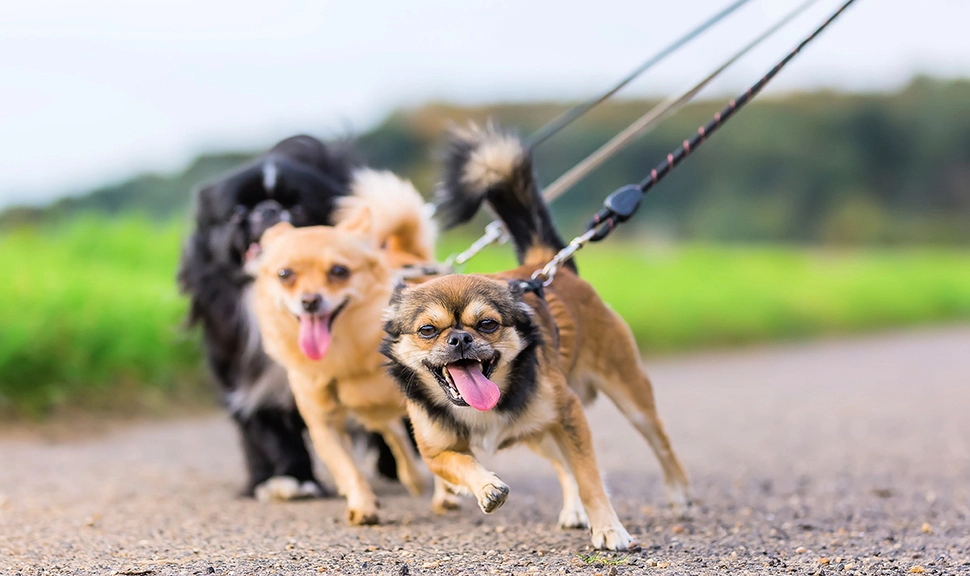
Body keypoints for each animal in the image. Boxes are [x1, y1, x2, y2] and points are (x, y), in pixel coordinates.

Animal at [178, 136, 398, 500]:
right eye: (238, 212)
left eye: (297, 209)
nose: (268, 210)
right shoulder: (254, 386)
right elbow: (273, 437)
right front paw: (290, 479)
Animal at [250, 170, 446, 520]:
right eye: (285, 274)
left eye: (339, 271)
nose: (310, 301)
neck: (345, 353)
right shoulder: (323, 424)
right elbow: (346, 468)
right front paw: (362, 505)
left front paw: (449, 492)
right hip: (372, 414)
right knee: (393, 432)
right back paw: (411, 478)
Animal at [378, 125, 688, 548]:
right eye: (428, 330)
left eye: (487, 324)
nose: (459, 339)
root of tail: (546, 266)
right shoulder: (433, 450)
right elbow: (462, 463)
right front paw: (485, 487)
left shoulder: (569, 414)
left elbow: (590, 477)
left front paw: (609, 528)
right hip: (540, 432)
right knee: (562, 465)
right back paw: (572, 510)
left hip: (628, 395)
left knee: (660, 442)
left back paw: (678, 494)